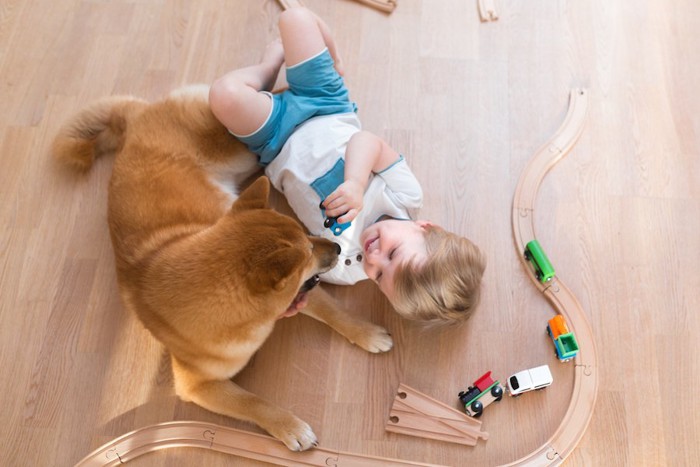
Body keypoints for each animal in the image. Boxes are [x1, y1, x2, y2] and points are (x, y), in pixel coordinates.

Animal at [53, 86, 394, 452]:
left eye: (306, 236)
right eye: (308, 247)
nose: (337, 248)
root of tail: (135, 120)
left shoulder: (301, 294)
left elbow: (335, 313)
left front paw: (366, 333)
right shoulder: (198, 385)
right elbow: (252, 402)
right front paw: (289, 426)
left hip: (242, 149)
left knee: (267, 93)